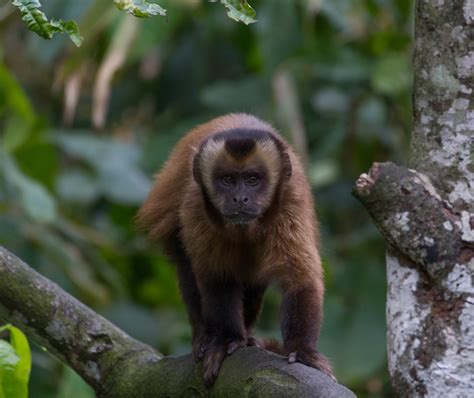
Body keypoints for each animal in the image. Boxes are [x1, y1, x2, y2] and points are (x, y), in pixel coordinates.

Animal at [137, 113, 334, 388]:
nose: (240, 198)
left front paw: (303, 351)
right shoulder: (197, 206)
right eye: (228, 180)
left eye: (252, 180)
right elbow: (217, 278)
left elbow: (300, 279)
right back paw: (205, 334)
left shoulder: (291, 200)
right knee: (188, 265)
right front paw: (226, 340)